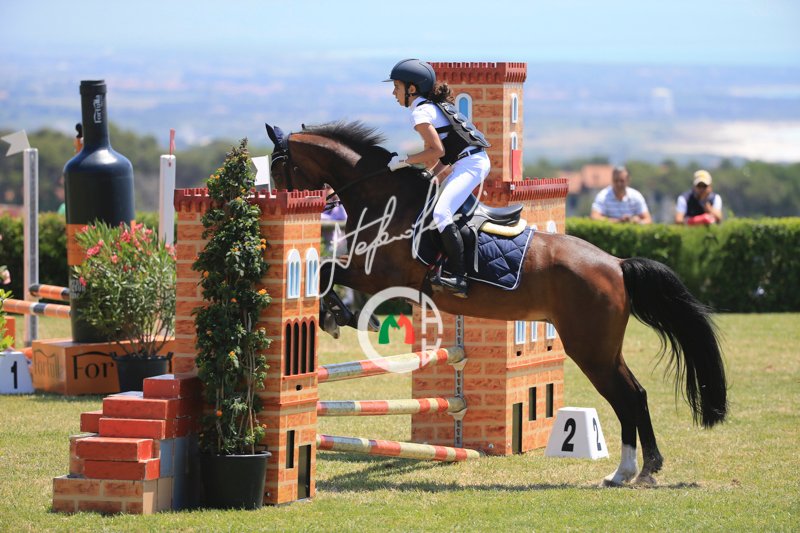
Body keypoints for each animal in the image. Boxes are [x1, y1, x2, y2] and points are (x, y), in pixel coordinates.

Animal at [265, 120, 727, 487]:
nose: (293, 207)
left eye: (277, 168)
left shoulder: (381, 274)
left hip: (590, 349)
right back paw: (636, 470)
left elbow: (328, 271)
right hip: (603, 349)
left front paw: (335, 315)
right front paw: (336, 313)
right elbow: (329, 271)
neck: (384, 196)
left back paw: (633, 471)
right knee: (638, 394)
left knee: (627, 397)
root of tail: (616, 264)